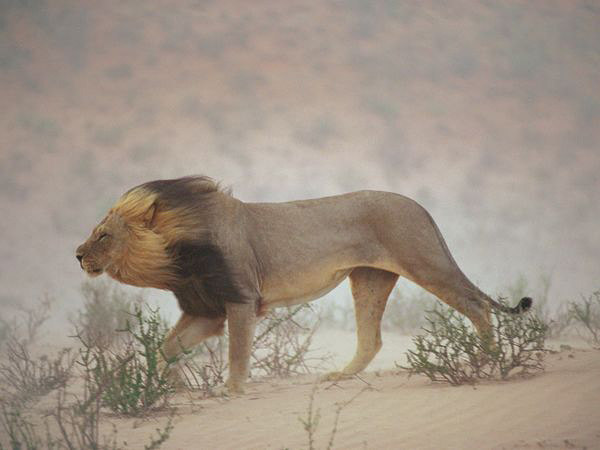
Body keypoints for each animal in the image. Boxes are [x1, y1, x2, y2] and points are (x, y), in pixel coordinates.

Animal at [77, 176, 532, 394]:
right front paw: (175, 388)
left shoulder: (240, 300)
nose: (77, 255)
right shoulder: (206, 311)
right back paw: (341, 376)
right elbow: (167, 348)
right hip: (369, 278)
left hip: (425, 262)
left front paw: (231, 391)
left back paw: (486, 360)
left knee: (477, 305)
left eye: (103, 236)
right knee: (372, 340)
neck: (175, 256)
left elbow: (238, 352)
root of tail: (419, 206)